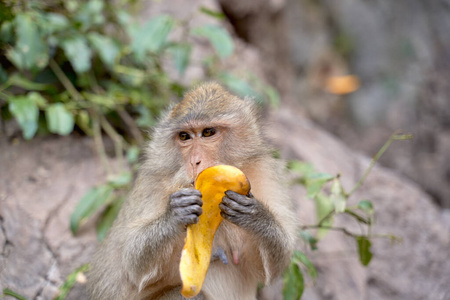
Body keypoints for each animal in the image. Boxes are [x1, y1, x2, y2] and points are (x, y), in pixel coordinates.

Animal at [89, 82, 298, 300]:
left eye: (208, 132)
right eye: (184, 136)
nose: (194, 161)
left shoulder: (265, 171)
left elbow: (273, 267)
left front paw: (254, 215)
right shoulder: (151, 182)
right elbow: (134, 265)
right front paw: (175, 214)